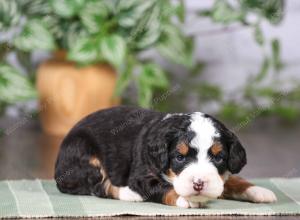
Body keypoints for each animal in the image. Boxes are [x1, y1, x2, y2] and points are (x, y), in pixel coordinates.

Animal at [54, 105, 276, 207]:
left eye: (219, 157)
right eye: (179, 157)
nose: (199, 183)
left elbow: (232, 180)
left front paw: (258, 190)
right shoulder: (142, 176)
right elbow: (164, 187)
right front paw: (185, 199)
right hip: (85, 155)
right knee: (99, 186)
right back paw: (130, 194)